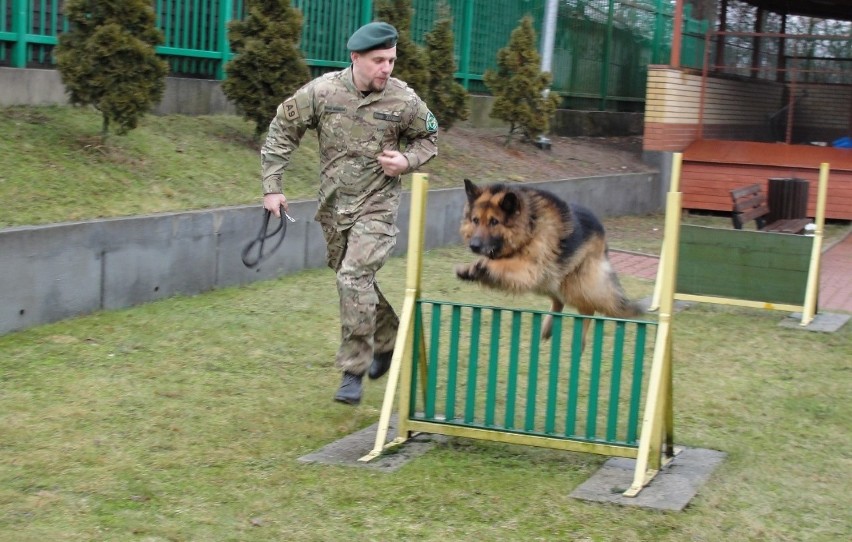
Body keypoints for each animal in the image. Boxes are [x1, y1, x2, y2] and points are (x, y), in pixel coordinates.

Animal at [456, 178, 644, 348]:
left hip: (574, 284)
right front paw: (470, 268)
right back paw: (548, 328)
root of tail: (602, 231)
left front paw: (483, 266)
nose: (474, 245)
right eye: (475, 220)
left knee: (590, 309)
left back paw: (581, 340)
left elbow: (504, 265)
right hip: (549, 280)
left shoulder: (529, 269)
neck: (530, 225)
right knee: (559, 301)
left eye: (494, 222)